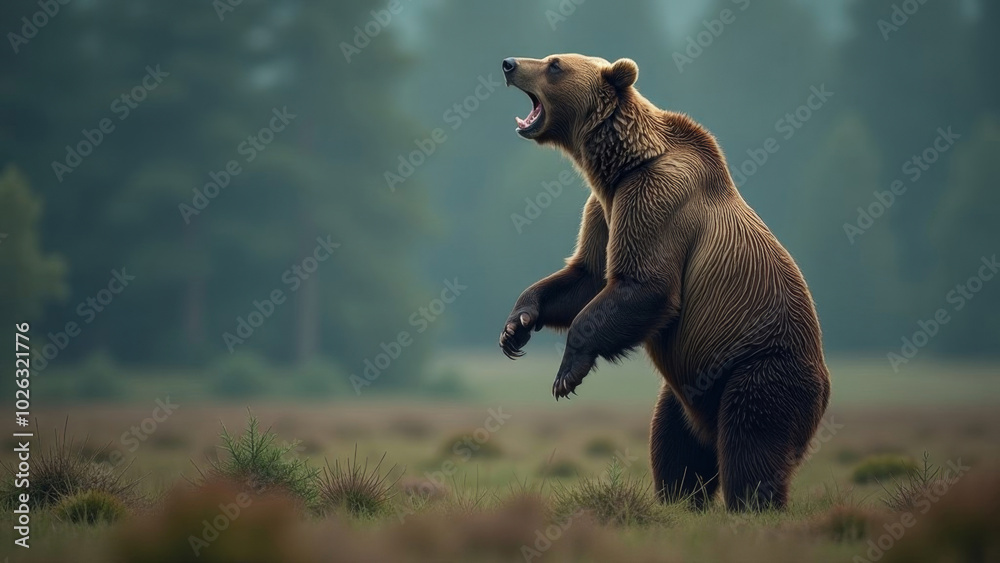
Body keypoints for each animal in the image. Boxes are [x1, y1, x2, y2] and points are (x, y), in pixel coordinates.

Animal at [497, 54, 831, 511]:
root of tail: (826, 391)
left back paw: (752, 504)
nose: (509, 63)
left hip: (760, 368)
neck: (620, 165)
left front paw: (566, 374)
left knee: (751, 444)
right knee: (674, 445)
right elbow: (587, 275)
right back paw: (680, 497)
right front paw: (517, 326)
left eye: (554, 65)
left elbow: (642, 284)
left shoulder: (654, 198)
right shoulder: (605, 207)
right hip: (687, 390)